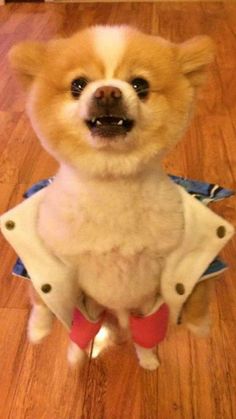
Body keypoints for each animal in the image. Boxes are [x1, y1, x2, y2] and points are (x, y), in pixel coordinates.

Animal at [9, 25, 215, 370]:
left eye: (140, 84)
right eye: (78, 85)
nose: (107, 92)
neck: (111, 182)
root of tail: (115, 309)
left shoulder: (179, 256)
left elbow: (196, 287)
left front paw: (199, 326)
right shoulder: (50, 256)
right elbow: (40, 295)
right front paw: (37, 330)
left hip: (146, 309)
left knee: (143, 334)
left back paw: (147, 359)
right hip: (88, 307)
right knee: (83, 329)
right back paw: (76, 355)